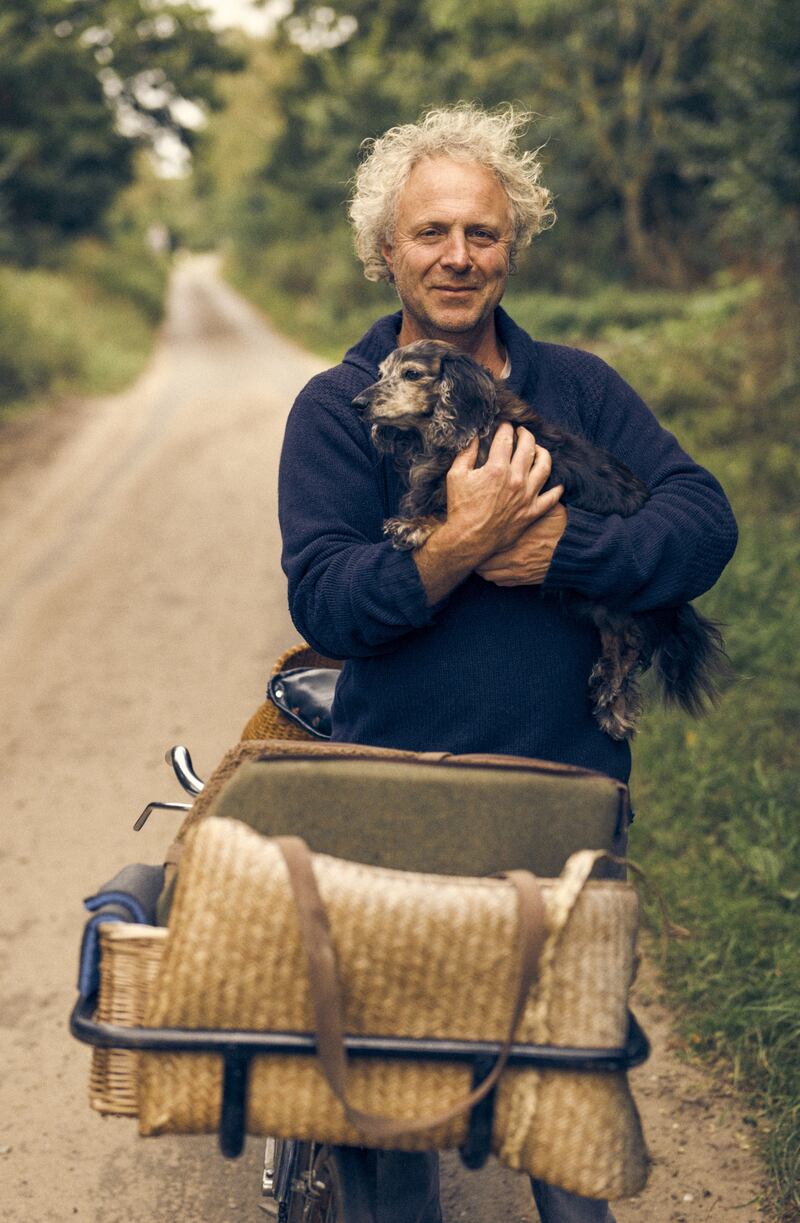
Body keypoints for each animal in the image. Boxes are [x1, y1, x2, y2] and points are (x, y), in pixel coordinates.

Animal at [354, 335, 729, 738]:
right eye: (381, 373)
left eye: (411, 374)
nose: (358, 404)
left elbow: (453, 511)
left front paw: (414, 525)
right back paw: (612, 703)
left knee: (630, 640)